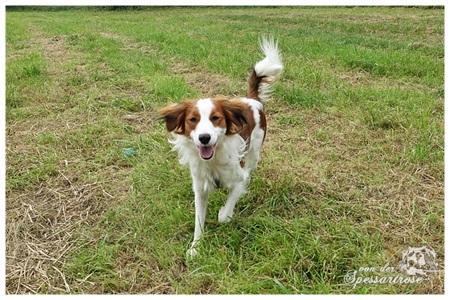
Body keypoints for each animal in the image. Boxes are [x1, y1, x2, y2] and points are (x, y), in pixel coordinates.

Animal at [160, 35, 284, 255]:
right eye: (193, 119)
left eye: (215, 118)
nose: (204, 138)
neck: (213, 160)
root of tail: (251, 99)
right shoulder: (200, 188)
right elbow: (198, 221)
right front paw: (195, 247)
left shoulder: (239, 178)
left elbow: (226, 211)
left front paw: (224, 214)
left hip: (254, 151)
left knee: (251, 167)